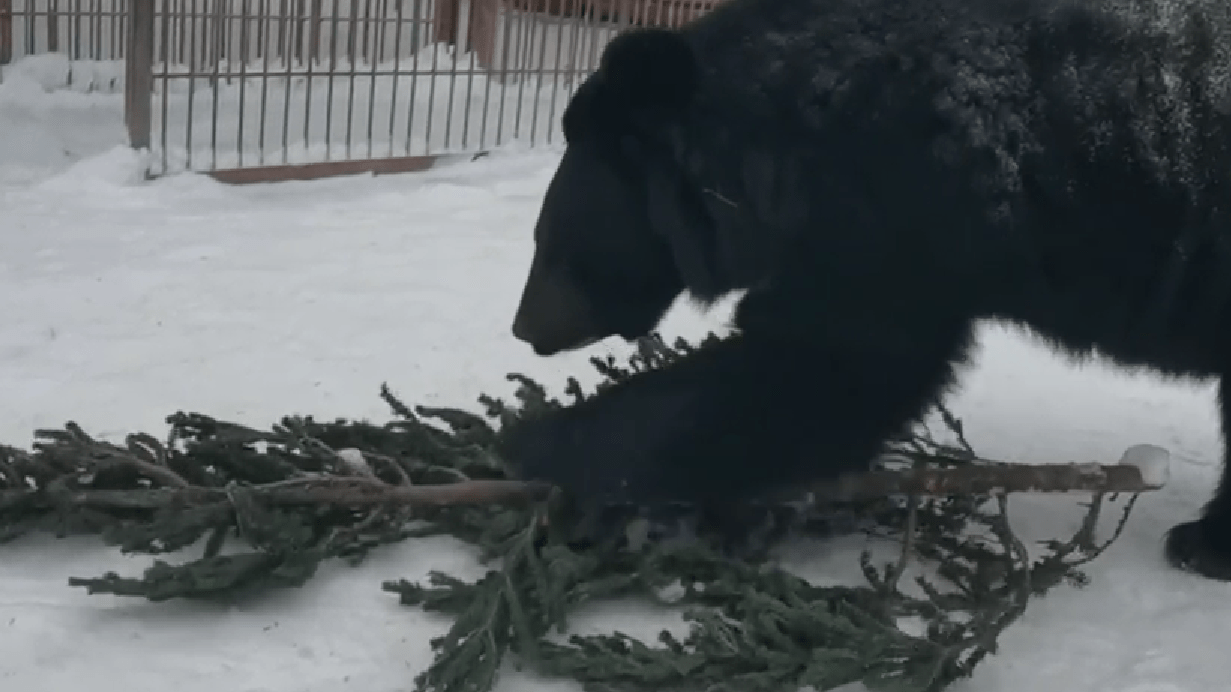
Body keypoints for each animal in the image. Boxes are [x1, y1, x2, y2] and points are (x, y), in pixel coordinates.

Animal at [497, 0, 1231, 576]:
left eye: (550, 242)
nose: (525, 328)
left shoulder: (889, 211)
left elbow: (825, 366)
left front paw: (538, 448)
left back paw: (1201, 544)